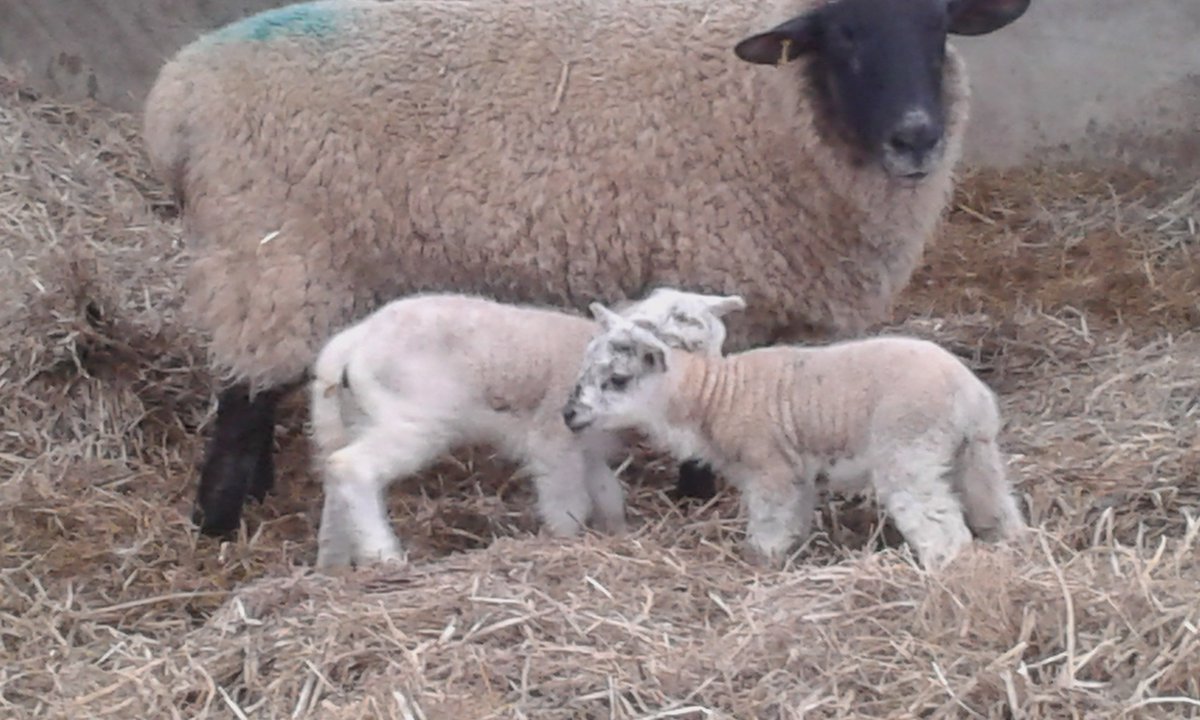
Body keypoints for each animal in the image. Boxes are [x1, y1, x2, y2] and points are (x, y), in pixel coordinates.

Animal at [142, 0, 1032, 535]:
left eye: (939, 24)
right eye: (842, 33)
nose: (917, 137)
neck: (780, 106)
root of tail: (174, 96)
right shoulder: (711, 252)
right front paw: (695, 489)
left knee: (260, 384)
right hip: (267, 250)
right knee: (244, 394)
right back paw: (218, 518)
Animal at [307, 286, 748, 568]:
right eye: (685, 344)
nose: (713, 392)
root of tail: (351, 344)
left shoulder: (588, 447)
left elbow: (609, 495)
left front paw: (617, 535)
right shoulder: (554, 440)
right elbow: (568, 504)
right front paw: (566, 543)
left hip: (347, 418)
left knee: (334, 477)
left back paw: (333, 565)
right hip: (412, 418)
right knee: (352, 467)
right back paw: (385, 555)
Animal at [559, 302, 1022, 568]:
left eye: (617, 380)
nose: (568, 414)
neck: (712, 396)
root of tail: (968, 392)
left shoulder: (771, 469)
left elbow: (768, 523)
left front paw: (759, 561)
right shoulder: (796, 472)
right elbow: (793, 520)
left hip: (910, 452)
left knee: (942, 530)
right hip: (974, 453)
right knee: (997, 507)